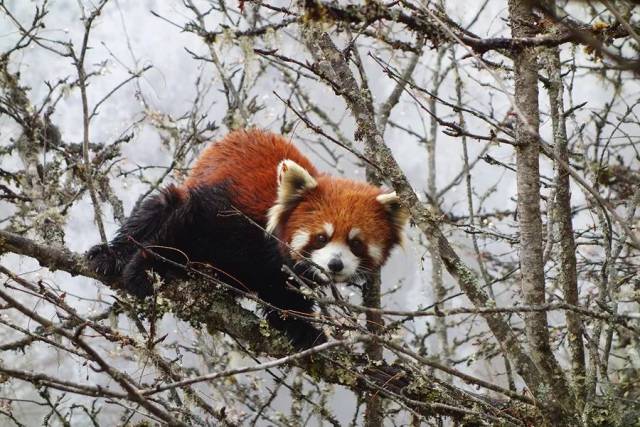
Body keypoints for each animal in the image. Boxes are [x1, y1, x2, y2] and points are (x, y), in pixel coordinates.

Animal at [87, 130, 408, 348]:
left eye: (356, 243)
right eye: (321, 237)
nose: (335, 265)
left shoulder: (282, 274)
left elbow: (284, 298)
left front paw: (304, 330)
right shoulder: (227, 212)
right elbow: (182, 225)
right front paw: (143, 271)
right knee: (156, 209)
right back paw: (110, 256)